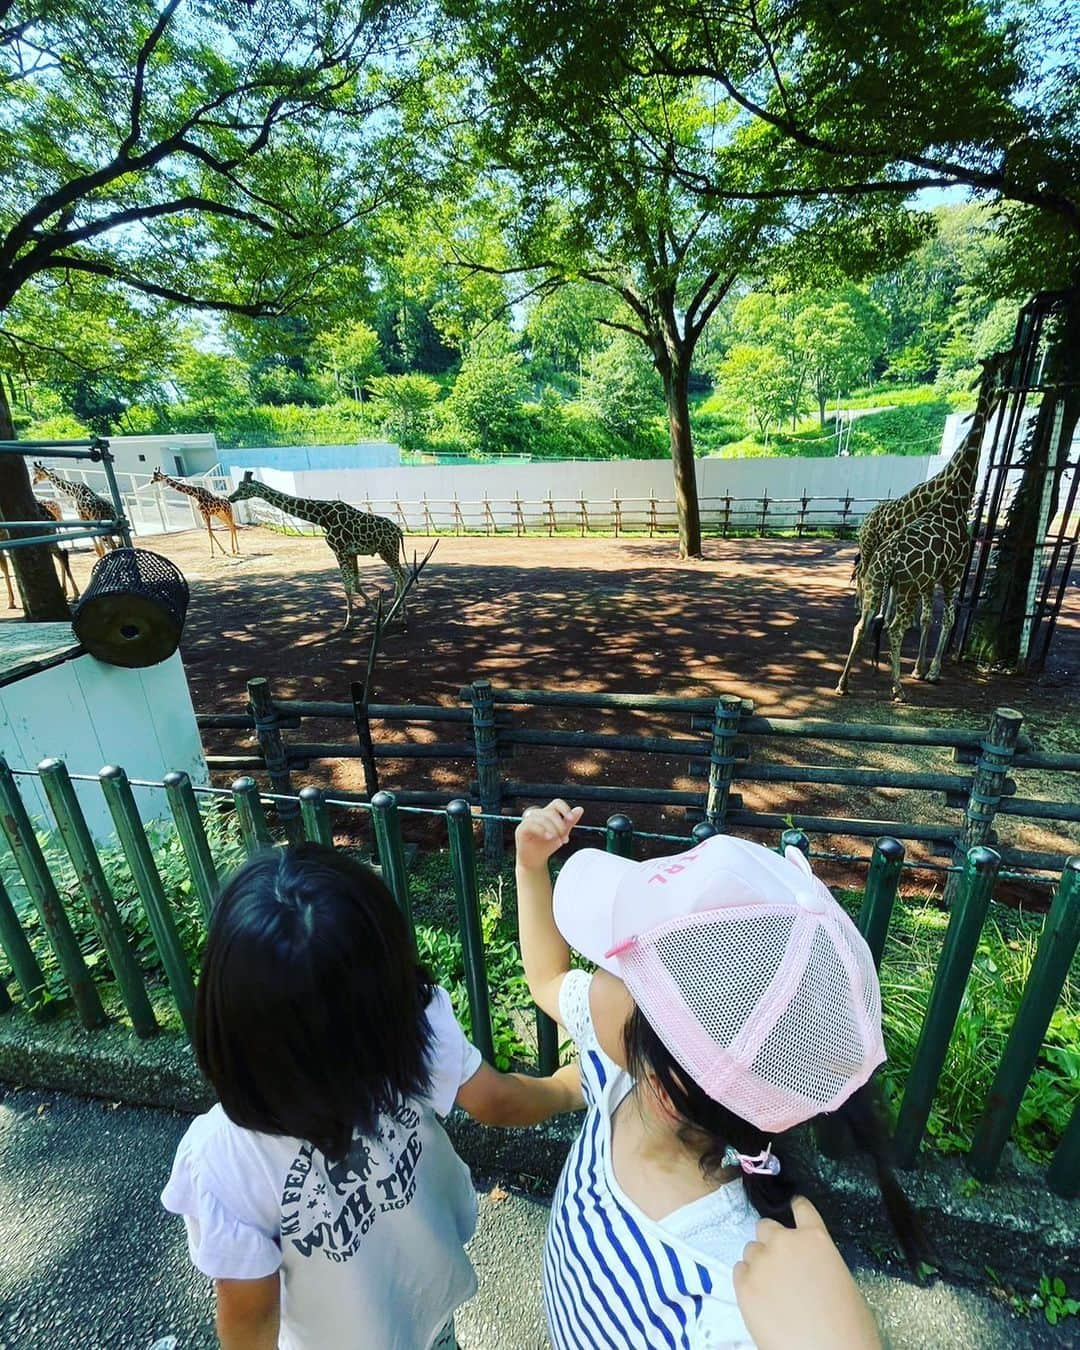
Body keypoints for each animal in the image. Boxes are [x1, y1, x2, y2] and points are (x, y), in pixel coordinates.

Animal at [228, 472, 410, 629]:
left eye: (243, 487)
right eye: (239, 485)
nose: (230, 497)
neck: (322, 517)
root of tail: (398, 531)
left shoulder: (339, 550)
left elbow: (347, 586)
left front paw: (347, 623)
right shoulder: (351, 553)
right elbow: (356, 584)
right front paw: (377, 613)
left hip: (389, 550)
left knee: (401, 576)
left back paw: (402, 616)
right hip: (385, 552)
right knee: (401, 575)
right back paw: (395, 612)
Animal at [837, 353, 1009, 702]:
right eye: (1000, 369)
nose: (1003, 393)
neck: (953, 498)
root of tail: (868, 517)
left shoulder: (928, 579)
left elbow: (928, 616)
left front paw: (920, 667)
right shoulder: (952, 571)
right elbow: (947, 616)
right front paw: (929, 671)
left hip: (886, 572)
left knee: (867, 619)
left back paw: (848, 680)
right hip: (884, 561)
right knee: (888, 617)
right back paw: (897, 686)